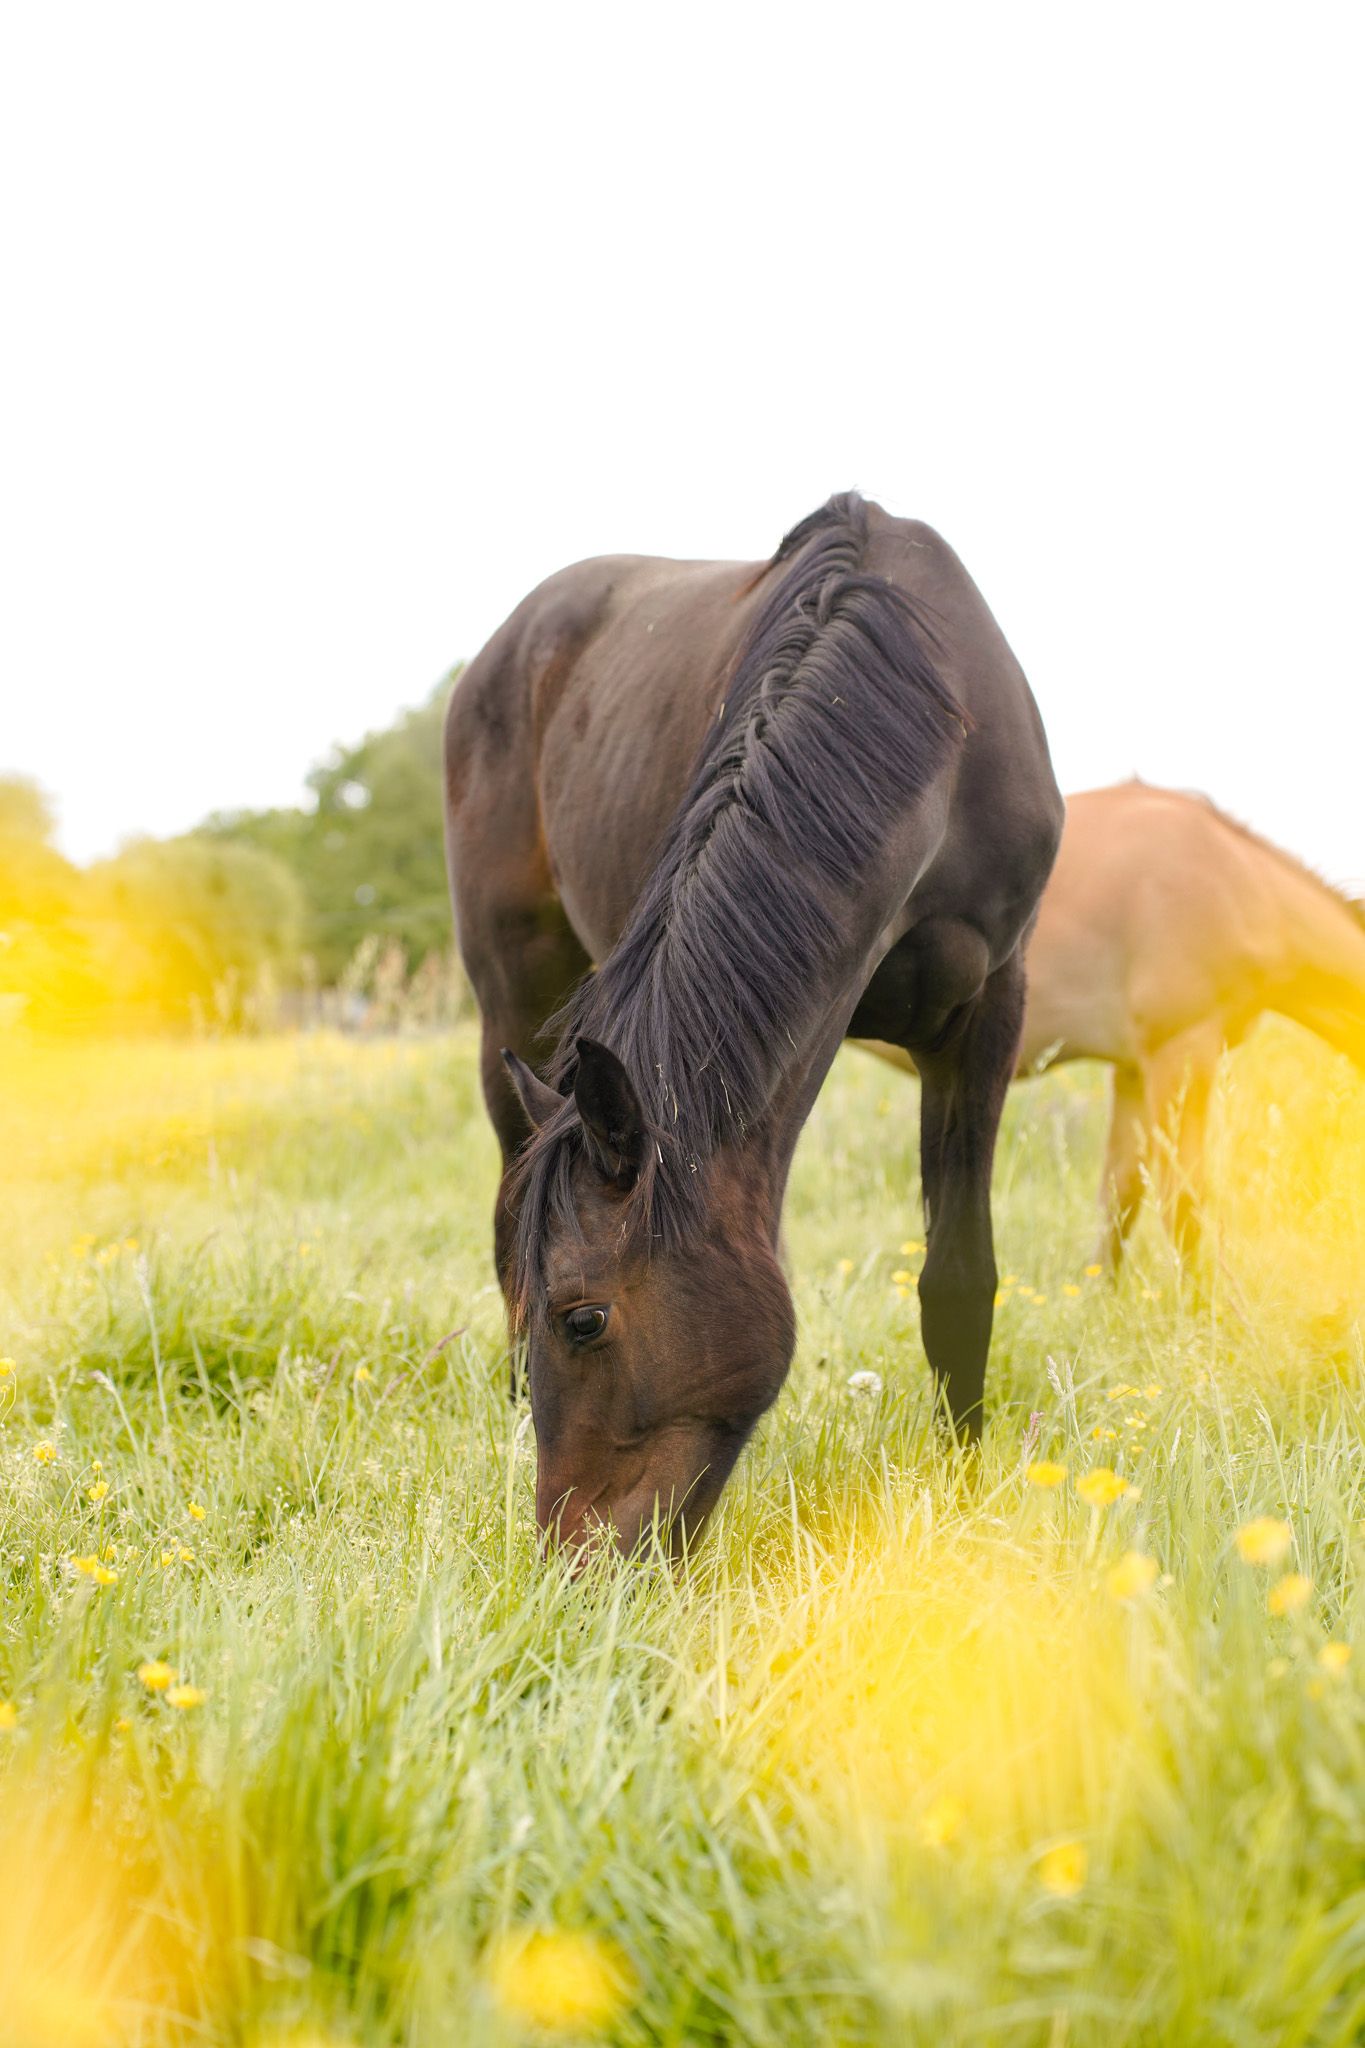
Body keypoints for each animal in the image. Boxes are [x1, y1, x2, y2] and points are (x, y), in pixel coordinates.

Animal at [444, 492, 1063, 1556]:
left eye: (583, 1320)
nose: (570, 1560)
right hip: (510, 1006)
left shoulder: (988, 1010)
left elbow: (957, 1278)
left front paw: (963, 1493)